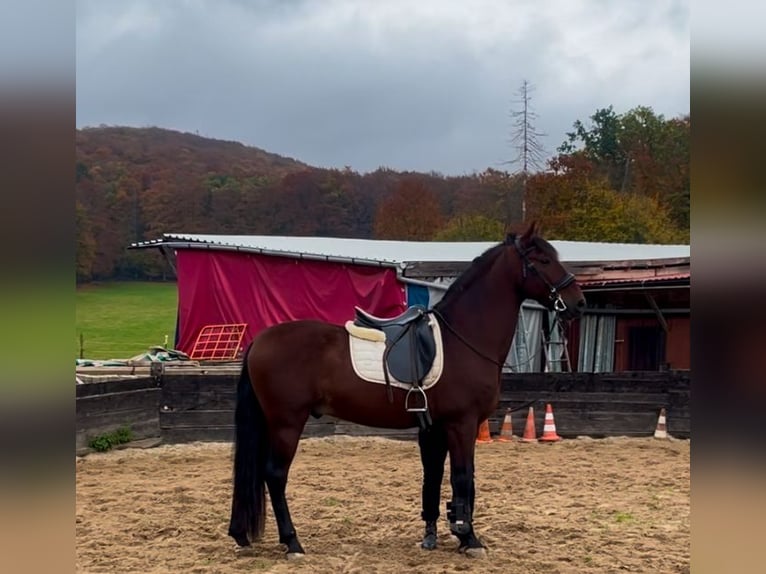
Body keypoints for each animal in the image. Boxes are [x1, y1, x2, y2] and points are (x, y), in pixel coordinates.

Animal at [228, 222, 588, 564]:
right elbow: (463, 478)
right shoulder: (462, 424)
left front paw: (443, 535)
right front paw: (469, 539)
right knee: (275, 476)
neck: (463, 339)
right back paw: (292, 543)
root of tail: (260, 340)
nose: (578, 302)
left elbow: (438, 478)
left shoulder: (437, 427)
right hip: (287, 422)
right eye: (543, 260)